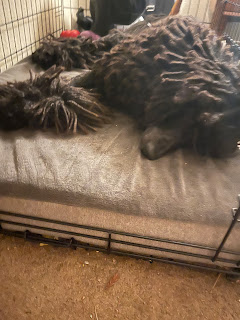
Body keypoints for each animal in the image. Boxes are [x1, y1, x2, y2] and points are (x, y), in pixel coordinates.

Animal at [0, 15, 240, 159]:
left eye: (194, 141)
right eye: (200, 118)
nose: (151, 152)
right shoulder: (104, 70)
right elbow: (64, 86)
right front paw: (17, 102)